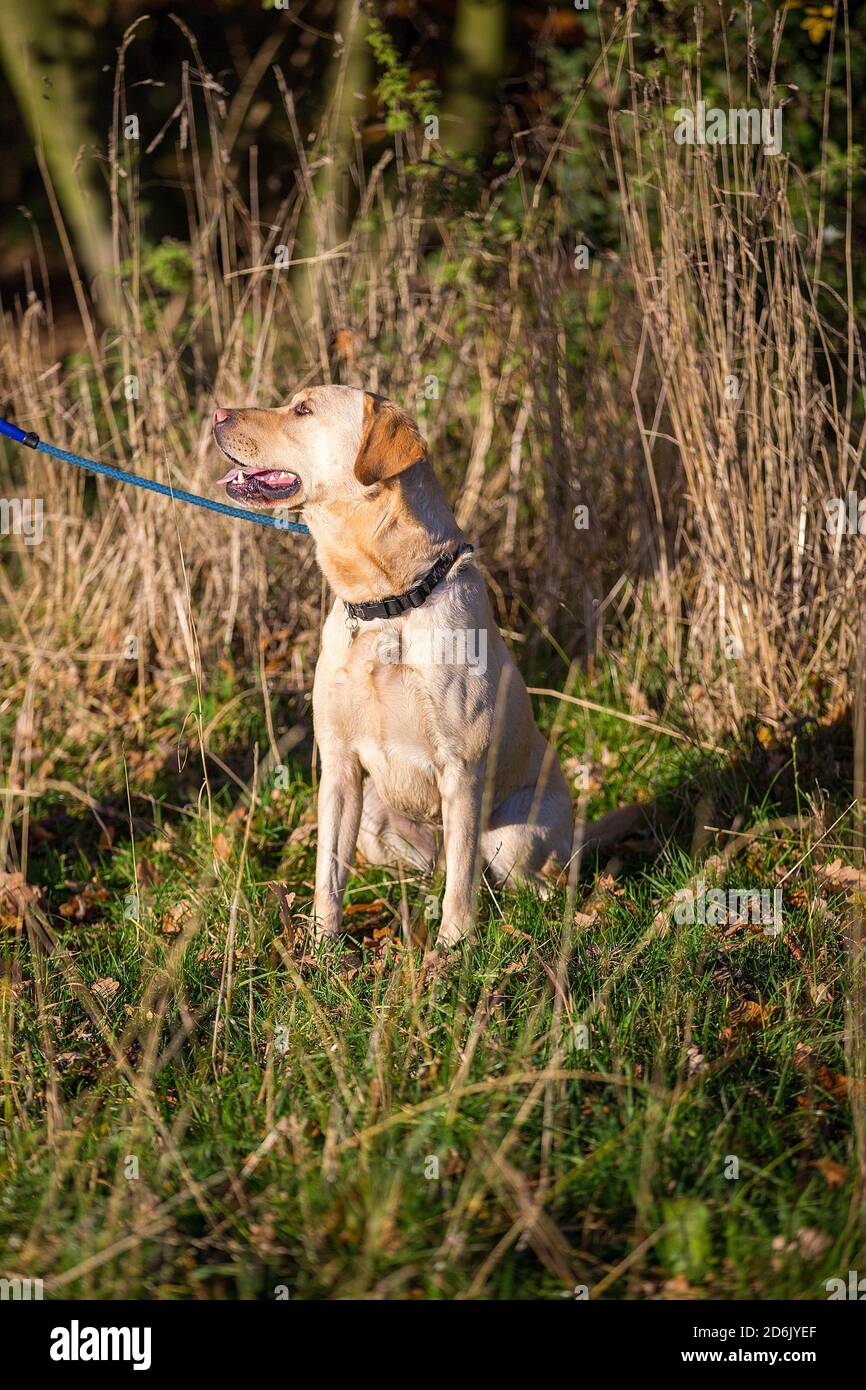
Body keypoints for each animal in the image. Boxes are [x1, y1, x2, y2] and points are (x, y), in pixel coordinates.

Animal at [211, 386, 631, 950]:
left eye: (303, 409)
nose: (216, 413)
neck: (388, 603)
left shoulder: (462, 769)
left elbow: (461, 884)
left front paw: (453, 951)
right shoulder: (339, 768)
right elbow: (328, 873)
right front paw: (322, 947)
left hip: (514, 835)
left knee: (521, 882)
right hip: (375, 818)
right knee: (427, 872)